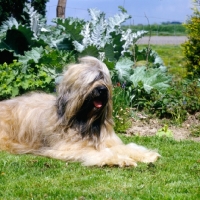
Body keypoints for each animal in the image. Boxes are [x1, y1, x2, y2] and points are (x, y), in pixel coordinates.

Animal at [0, 56, 160, 167]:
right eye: (91, 80)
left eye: (103, 78)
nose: (102, 90)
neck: (85, 121)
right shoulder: (67, 148)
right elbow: (100, 152)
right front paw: (122, 160)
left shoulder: (107, 141)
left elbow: (125, 148)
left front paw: (146, 155)